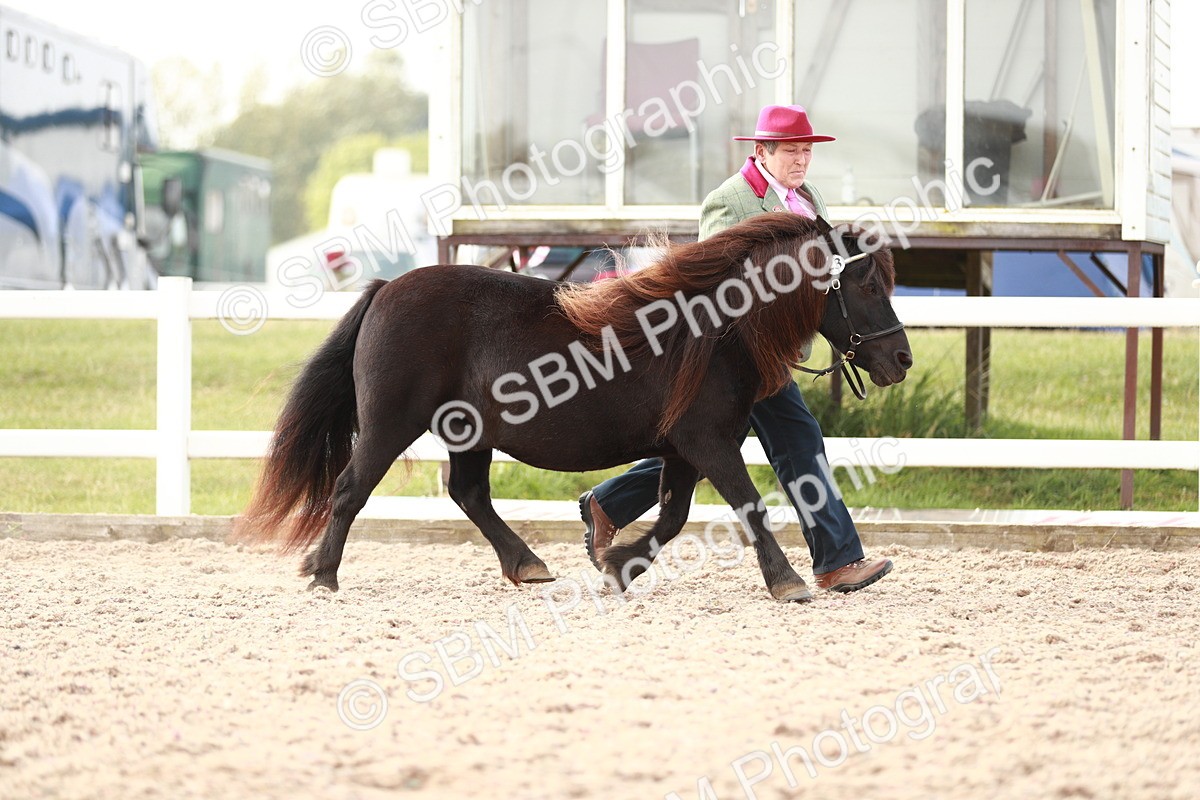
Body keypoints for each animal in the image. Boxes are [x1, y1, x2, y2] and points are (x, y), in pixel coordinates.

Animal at [238, 214, 912, 602]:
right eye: (866, 283)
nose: (901, 358)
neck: (714, 329)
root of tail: (383, 291)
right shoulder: (709, 442)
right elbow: (748, 507)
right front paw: (788, 582)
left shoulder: (684, 449)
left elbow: (672, 517)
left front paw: (617, 563)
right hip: (389, 425)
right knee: (351, 489)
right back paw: (324, 575)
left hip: (468, 433)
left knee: (469, 494)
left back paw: (527, 564)